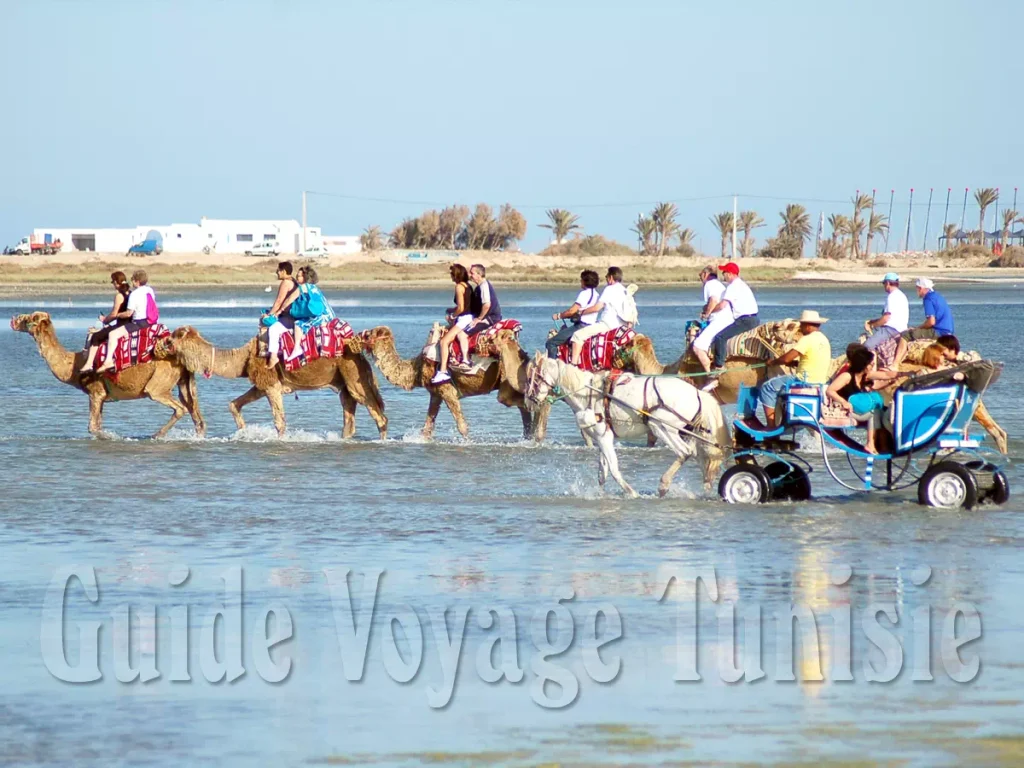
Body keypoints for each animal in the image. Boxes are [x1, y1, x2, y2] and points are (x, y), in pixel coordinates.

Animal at [10, 309, 203, 436]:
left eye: (29, 318)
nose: (13, 319)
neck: (74, 365)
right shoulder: (102, 396)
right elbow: (98, 425)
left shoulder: (95, 392)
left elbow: (93, 428)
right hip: (184, 381)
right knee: (196, 414)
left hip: (159, 384)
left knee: (179, 407)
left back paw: (156, 435)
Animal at [152, 327, 387, 438]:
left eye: (176, 336)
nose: (165, 341)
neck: (243, 357)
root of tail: (361, 356)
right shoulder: (261, 384)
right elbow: (234, 404)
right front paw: (243, 431)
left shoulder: (271, 384)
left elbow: (279, 422)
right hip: (344, 382)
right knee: (349, 416)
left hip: (353, 375)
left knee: (378, 414)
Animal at [354, 325, 532, 442]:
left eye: (369, 334)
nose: (358, 335)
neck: (416, 369)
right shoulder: (435, 393)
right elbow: (427, 427)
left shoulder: (447, 389)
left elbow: (462, 425)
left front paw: (469, 443)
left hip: (507, 378)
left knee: (520, 403)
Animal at [524, 354, 733, 499]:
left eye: (532, 377)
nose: (529, 400)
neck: (587, 392)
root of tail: (698, 393)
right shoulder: (604, 438)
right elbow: (602, 472)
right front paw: (601, 494)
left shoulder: (603, 436)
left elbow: (613, 469)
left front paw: (630, 492)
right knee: (701, 458)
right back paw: (706, 488)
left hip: (661, 426)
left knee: (685, 452)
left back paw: (664, 485)